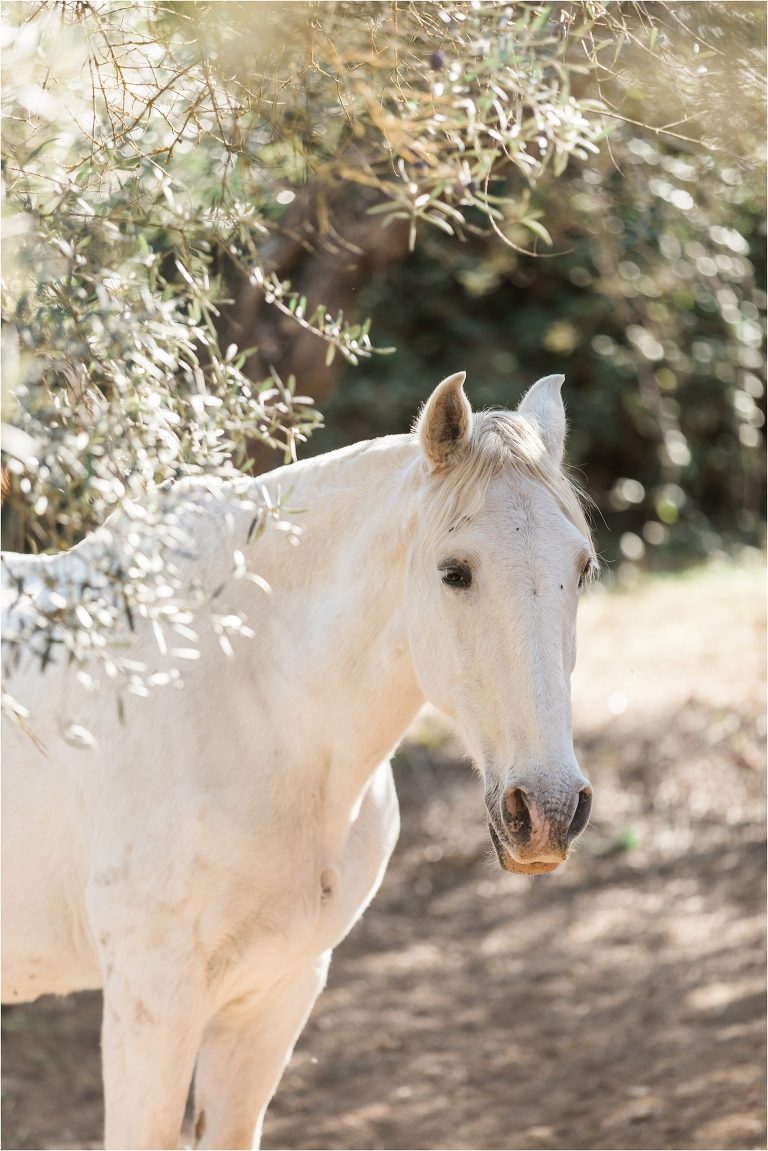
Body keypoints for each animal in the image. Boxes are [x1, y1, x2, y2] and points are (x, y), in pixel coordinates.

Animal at [2, 372, 596, 1150]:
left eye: (582, 569)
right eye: (454, 572)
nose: (548, 810)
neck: (251, 698)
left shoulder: (275, 991)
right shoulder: (151, 1003)